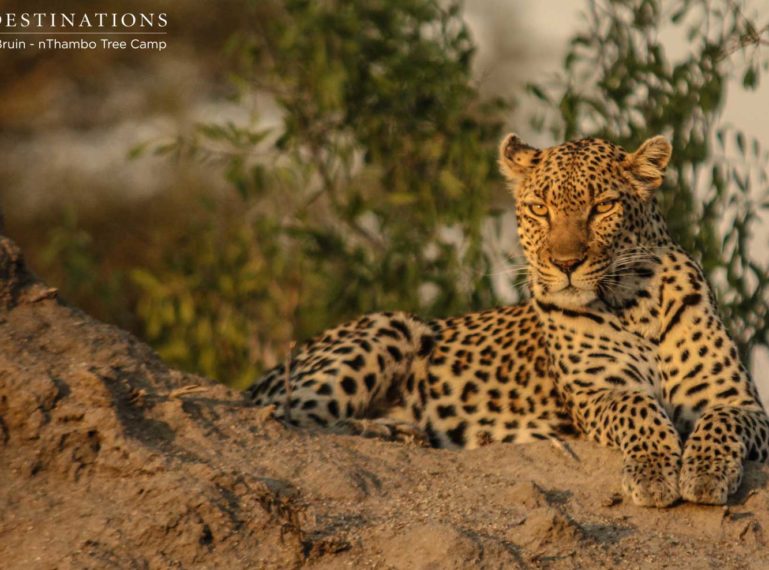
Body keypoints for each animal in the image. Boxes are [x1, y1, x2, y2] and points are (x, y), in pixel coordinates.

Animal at [246, 133, 768, 506]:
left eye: (603, 207)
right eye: (539, 209)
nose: (565, 263)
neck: (631, 303)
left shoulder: (740, 403)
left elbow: (721, 420)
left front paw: (705, 472)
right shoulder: (597, 394)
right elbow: (636, 408)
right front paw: (656, 471)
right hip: (388, 328)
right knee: (289, 416)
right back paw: (394, 431)